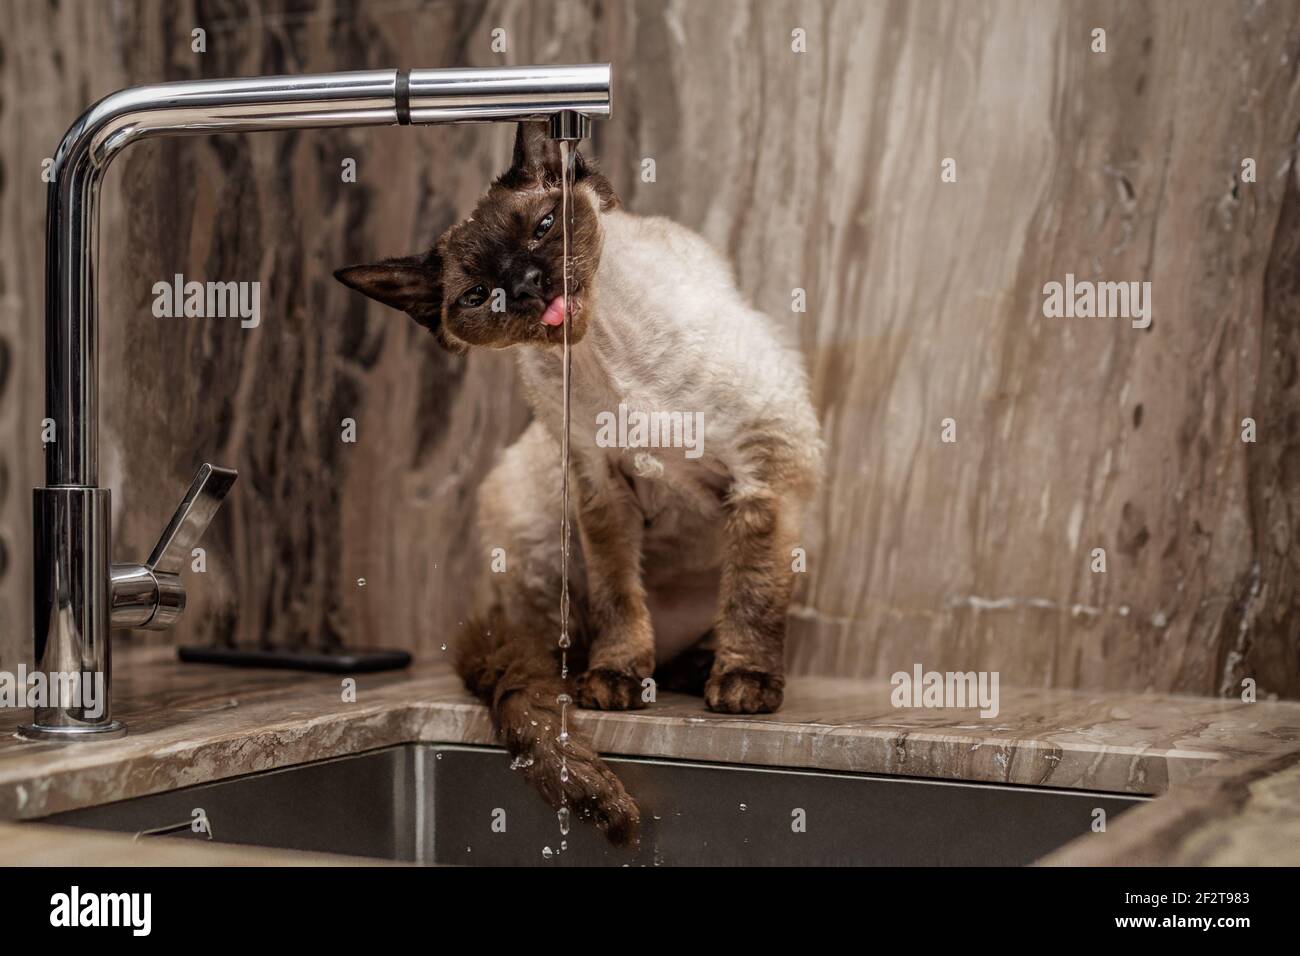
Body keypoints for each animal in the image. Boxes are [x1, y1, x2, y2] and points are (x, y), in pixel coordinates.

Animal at [335, 121, 821, 842]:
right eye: (478, 296)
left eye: (542, 228)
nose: (529, 285)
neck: (606, 350)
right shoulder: (600, 488)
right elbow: (620, 595)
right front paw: (617, 677)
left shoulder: (762, 468)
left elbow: (753, 595)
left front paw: (745, 684)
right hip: (525, 509)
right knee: (554, 646)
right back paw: (606, 678)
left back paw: (702, 668)